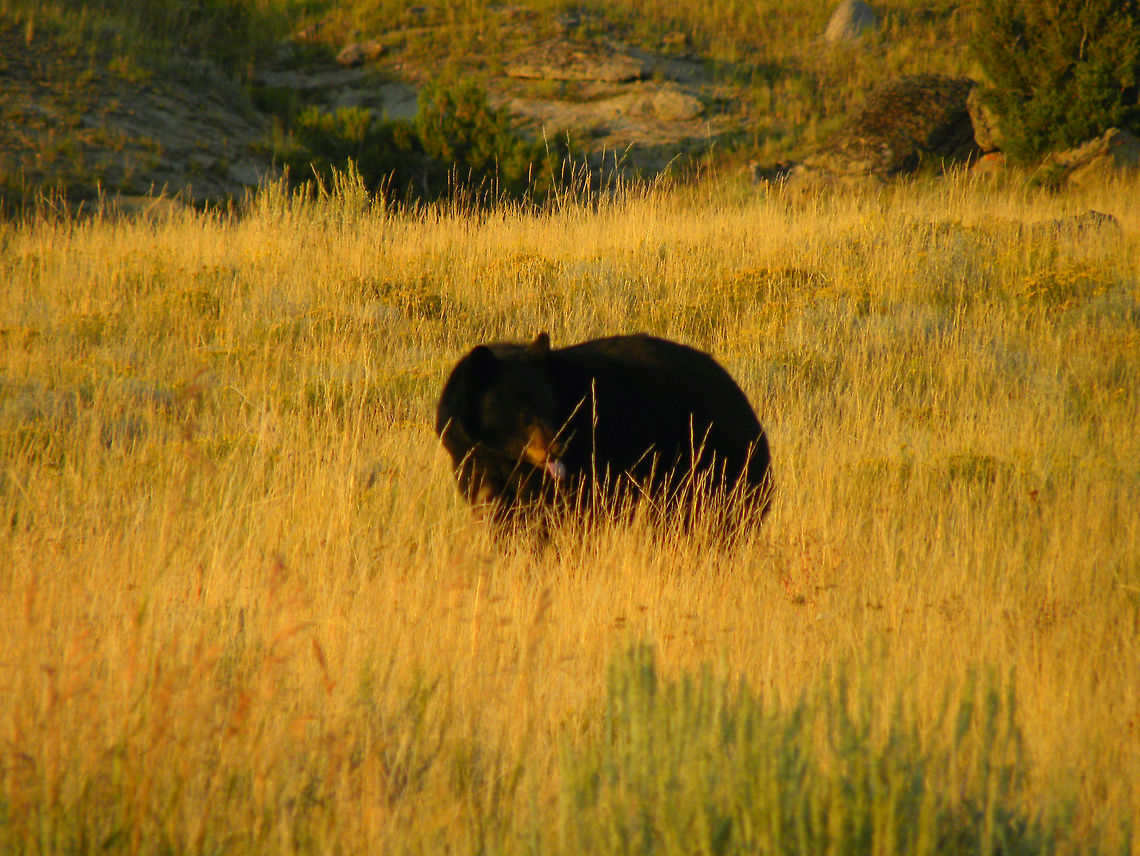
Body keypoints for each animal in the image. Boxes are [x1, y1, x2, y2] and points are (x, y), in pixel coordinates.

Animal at [435, 332, 773, 523]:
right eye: (523, 415)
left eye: (550, 408)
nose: (558, 447)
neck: (501, 455)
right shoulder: (470, 459)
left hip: (711, 461)